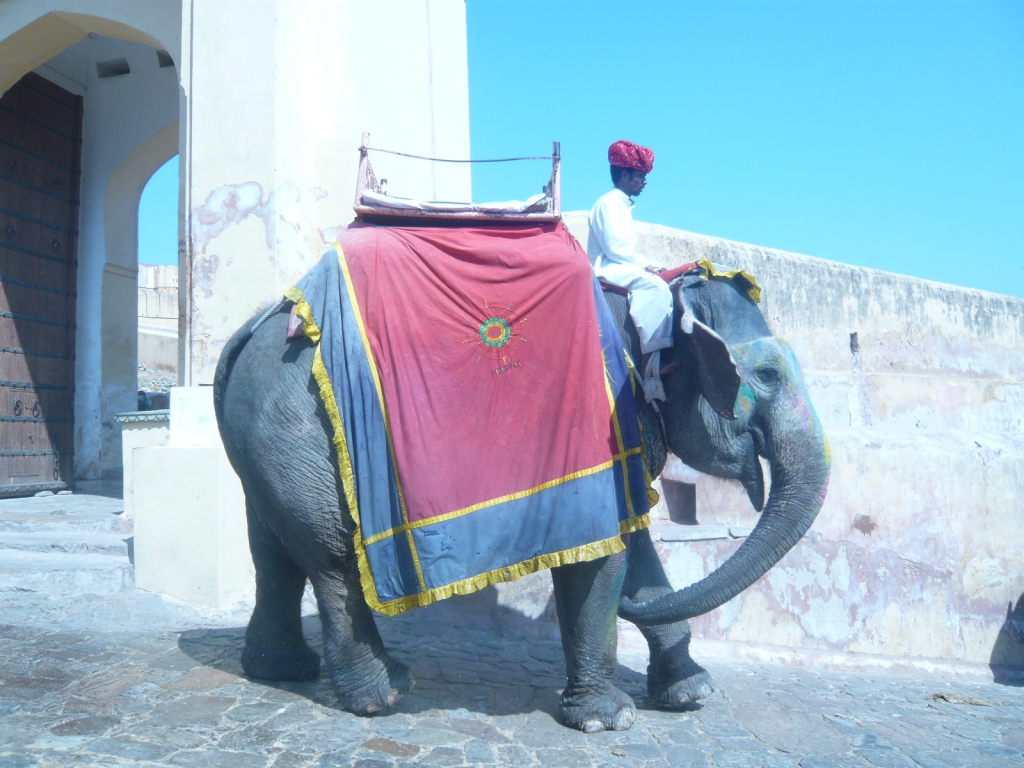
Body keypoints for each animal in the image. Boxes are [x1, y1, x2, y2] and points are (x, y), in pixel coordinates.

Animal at [211, 259, 827, 733]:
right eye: (768, 375)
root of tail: (250, 331)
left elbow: (635, 545)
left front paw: (691, 692)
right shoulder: (598, 419)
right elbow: (606, 549)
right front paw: (608, 720)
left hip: (266, 443)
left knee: (273, 549)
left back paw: (283, 670)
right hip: (299, 429)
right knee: (332, 557)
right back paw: (383, 694)